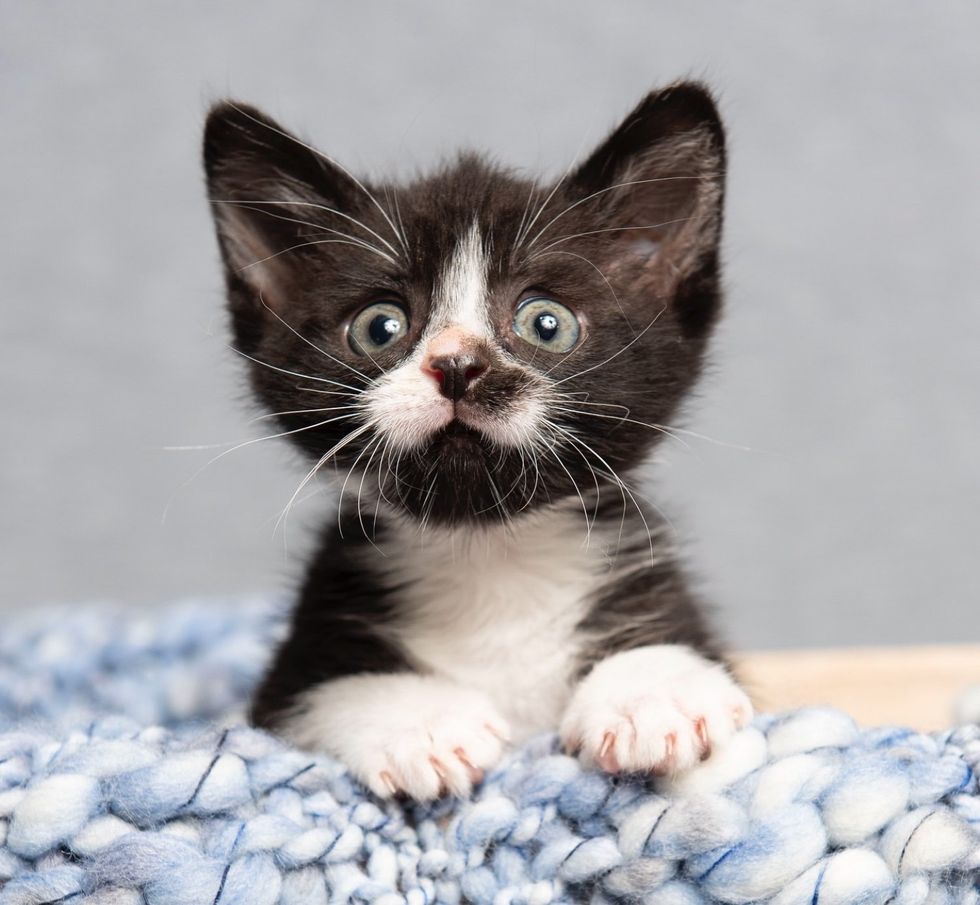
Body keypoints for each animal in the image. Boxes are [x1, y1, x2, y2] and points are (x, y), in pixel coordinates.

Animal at [199, 83, 752, 800]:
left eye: (547, 323)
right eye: (380, 327)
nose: (459, 364)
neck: (491, 558)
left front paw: (653, 694)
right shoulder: (293, 669)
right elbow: (317, 695)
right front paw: (418, 724)